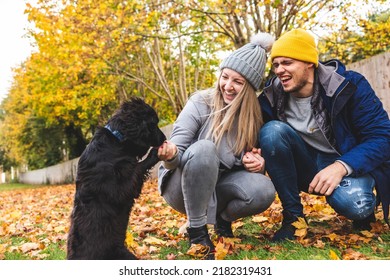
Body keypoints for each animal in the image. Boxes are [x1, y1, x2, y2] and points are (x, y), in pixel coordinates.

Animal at [66, 97, 166, 260]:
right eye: (153, 123)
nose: (164, 138)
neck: (116, 140)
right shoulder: (119, 190)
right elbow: (139, 167)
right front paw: (155, 152)